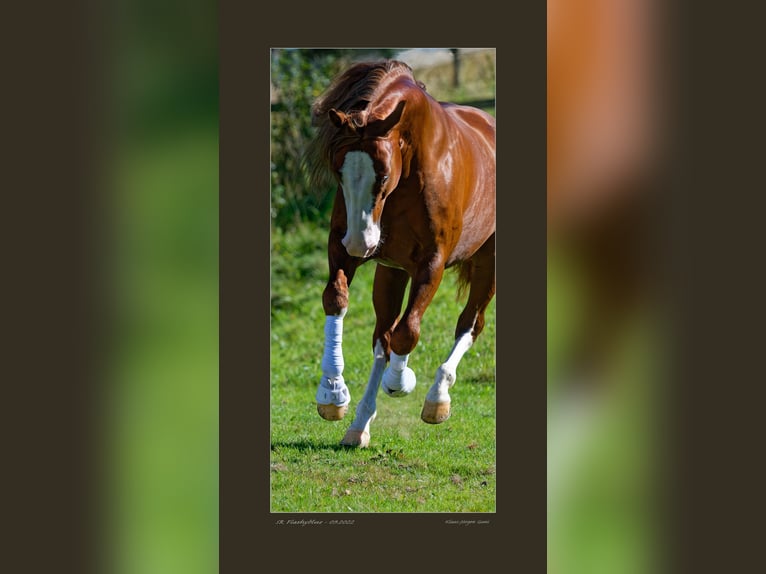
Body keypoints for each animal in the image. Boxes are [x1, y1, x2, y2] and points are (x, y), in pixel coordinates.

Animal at [306, 62, 498, 450]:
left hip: (488, 262)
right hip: (391, 271)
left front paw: (400, 380)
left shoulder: (431, 263)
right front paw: (332, 393)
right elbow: (336, 300)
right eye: (338, 171)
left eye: (382, 174)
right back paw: (359, 425)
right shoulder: (344, 249)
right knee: (383, 337)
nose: (361, 242)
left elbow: (408, 332)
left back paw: (437, 397)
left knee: (470, 323)